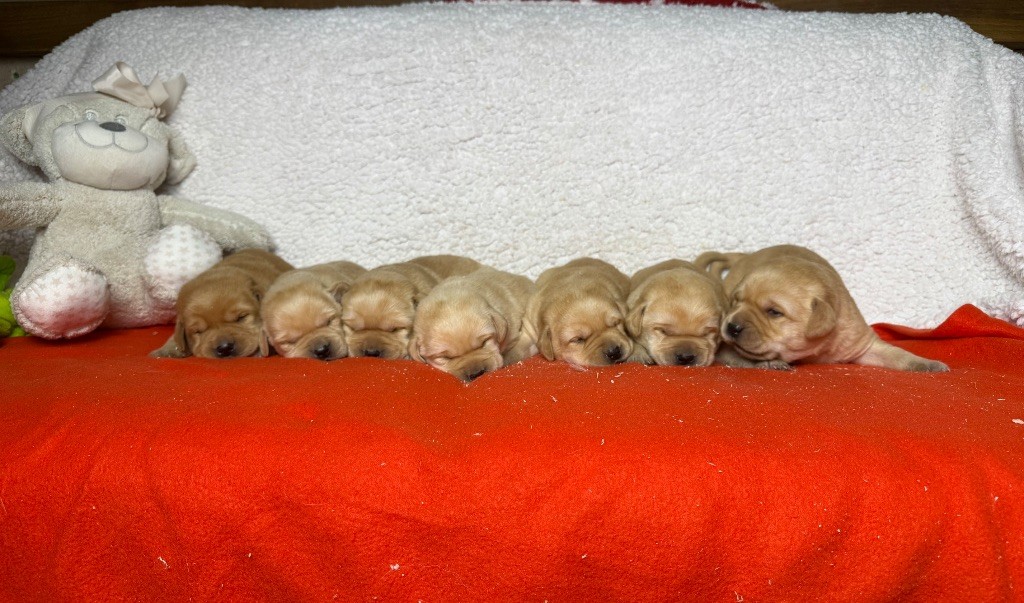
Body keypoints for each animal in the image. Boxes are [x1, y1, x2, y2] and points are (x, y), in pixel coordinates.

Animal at [700, 244, 946, 370]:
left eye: (774, 312)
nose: (731, 327)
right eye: (735, 301)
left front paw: (927, 364)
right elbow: (738, 356)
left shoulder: (862, 343)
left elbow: (897, 353)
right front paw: (770, 362)